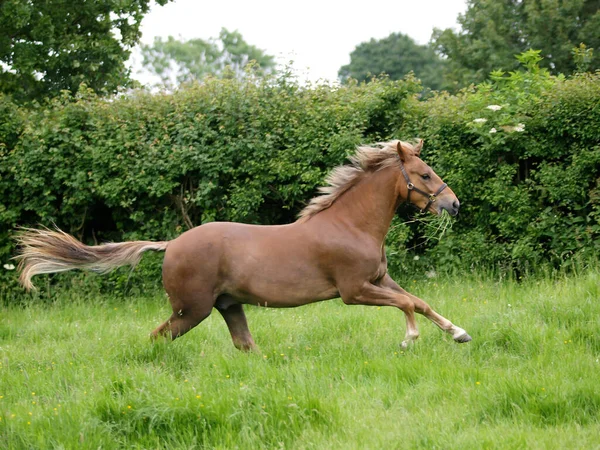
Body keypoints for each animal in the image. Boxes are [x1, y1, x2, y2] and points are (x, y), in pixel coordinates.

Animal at [16, 139, 472, 350]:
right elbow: (409, 304)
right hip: (191, 309)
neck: (350, 225)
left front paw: (459, 333)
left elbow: (419, 300)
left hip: (228, 306)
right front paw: (409, 340)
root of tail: (170, 244)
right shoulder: (354, 290)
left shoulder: (380, 280)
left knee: (243, 345)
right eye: (425, 174)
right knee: (158, 337)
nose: (453, 204)